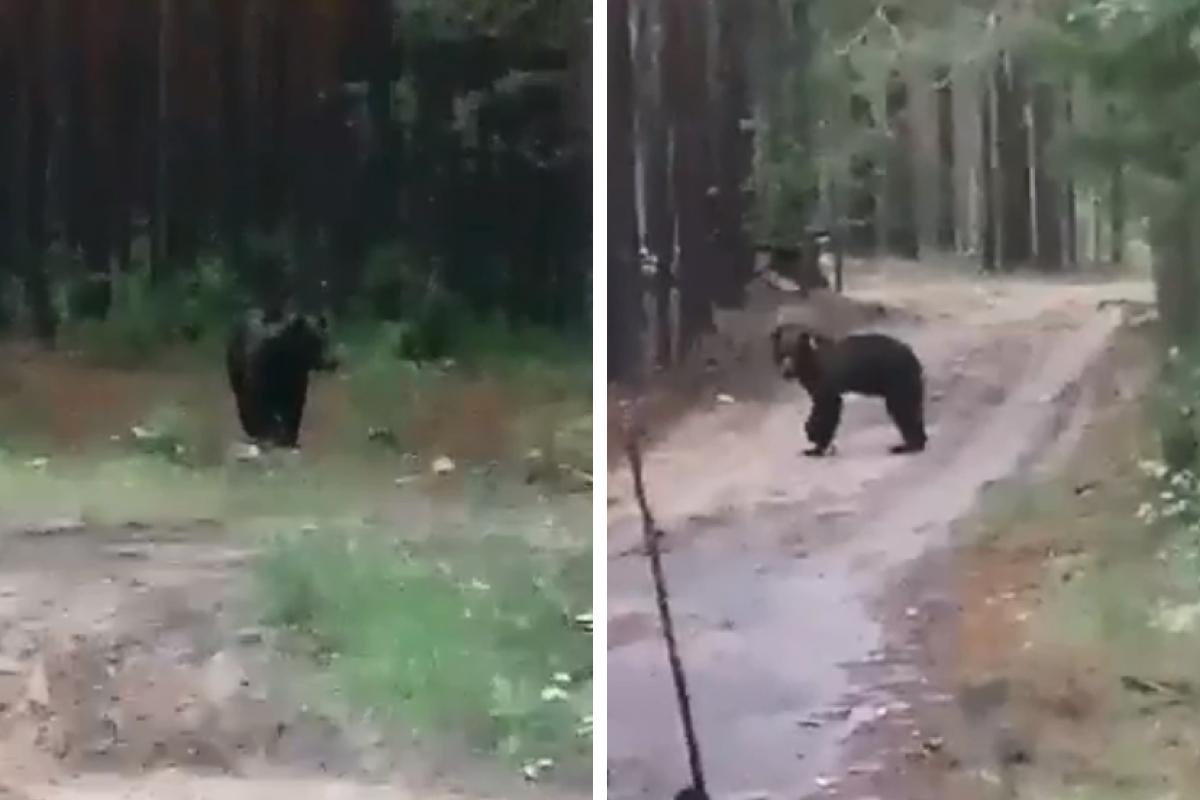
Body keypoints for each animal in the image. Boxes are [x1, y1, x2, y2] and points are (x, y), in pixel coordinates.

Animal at [225, 309, 340, 450]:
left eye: (325, 341)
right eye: (312, 342)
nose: (331, 362)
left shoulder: (295, 386)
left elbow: (294, 411)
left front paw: (290, 439)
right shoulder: (260, 380)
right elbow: (259, 407)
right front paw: (266, 436)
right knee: (242, 400)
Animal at [768, 319, 926, 455]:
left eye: (794, 354)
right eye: (782, 354)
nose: (787, 373)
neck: (809, 365)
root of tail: (914, 359)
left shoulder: (826, 379)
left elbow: (827, 406)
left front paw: (815, 444)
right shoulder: (812, 383)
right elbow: (818, 404)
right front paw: (812, 436)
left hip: (897, 380)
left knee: (902, 408)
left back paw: (905, 446)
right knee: (912, 408)